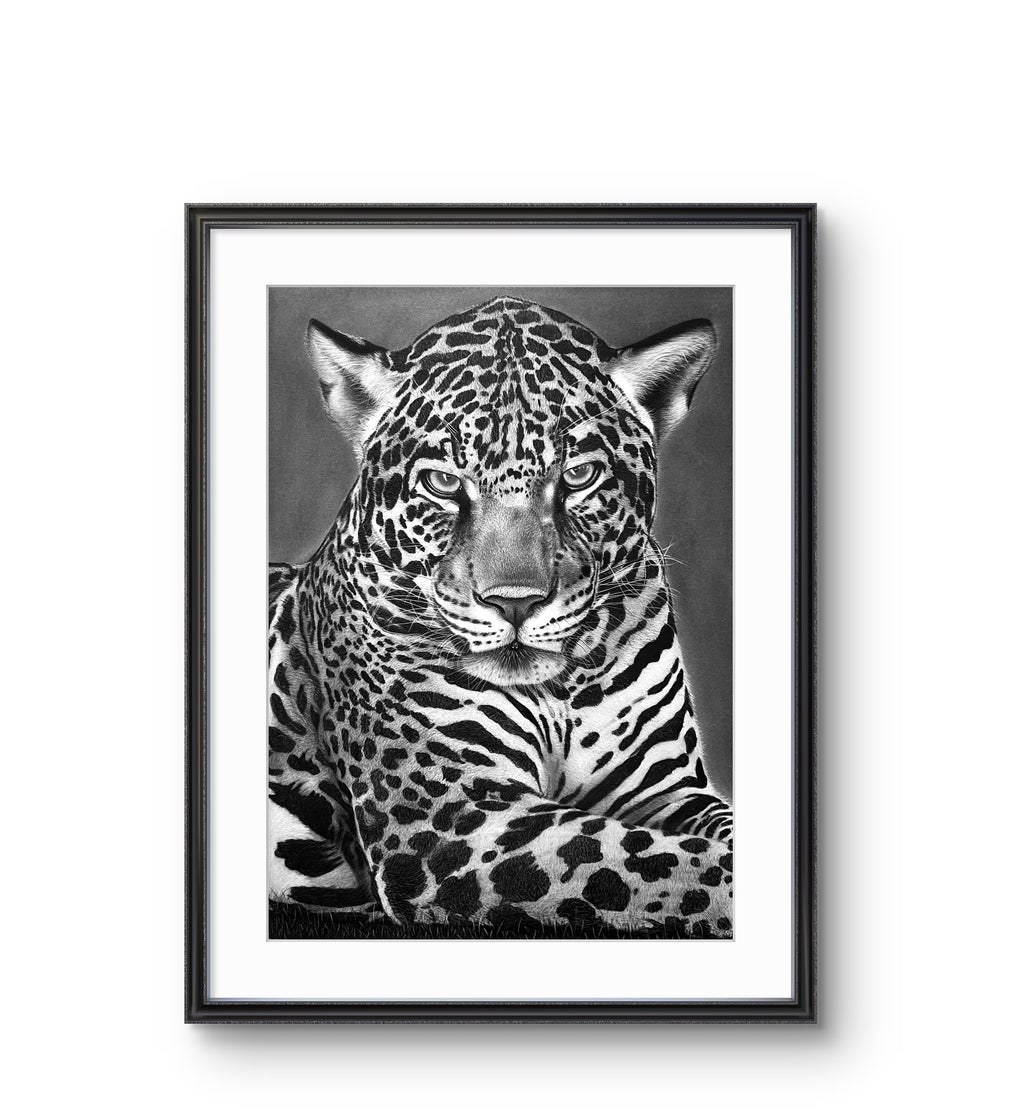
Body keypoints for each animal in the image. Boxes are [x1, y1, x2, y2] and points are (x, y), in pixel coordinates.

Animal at [268, 295, 733, 936]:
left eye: (578, 476)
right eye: (443, 482)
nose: (515, 601)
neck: (559, 692)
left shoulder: (668, 788)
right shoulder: (457, 820)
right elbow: (671, 865)